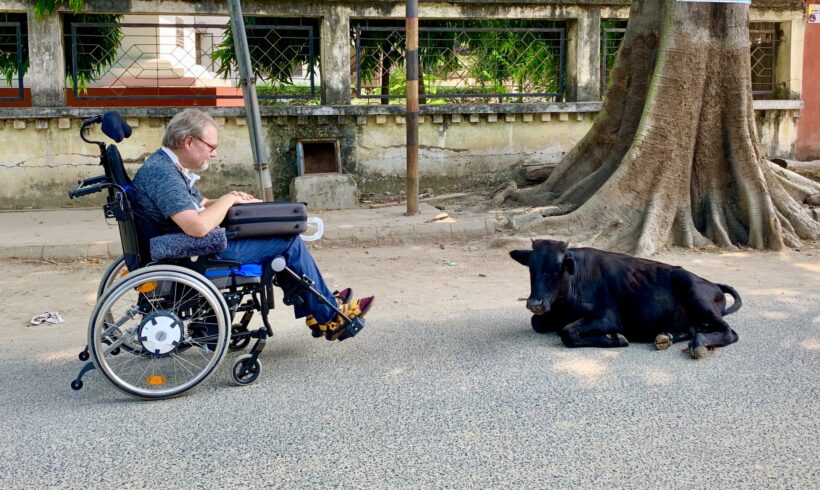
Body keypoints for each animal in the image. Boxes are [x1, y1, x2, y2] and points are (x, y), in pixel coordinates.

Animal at [510, 239, 740, 358]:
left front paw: (615, 338)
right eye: (531, 268)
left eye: (557, 270)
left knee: (729, 332)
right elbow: (536, 322)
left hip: (695, 293)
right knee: (694, 328)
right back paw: (665, 336)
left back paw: (698, 344)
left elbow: (567, 332)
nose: (535, 303)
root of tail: (713, 283)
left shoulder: (608, 317)